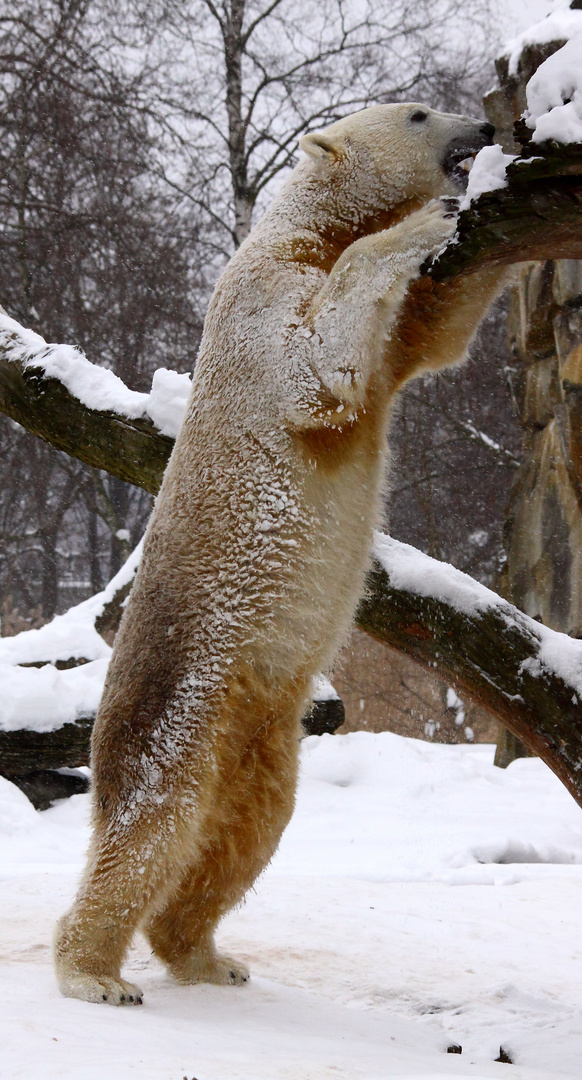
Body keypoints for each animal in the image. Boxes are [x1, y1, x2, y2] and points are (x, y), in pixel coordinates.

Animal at [55, 103, 509, 1002]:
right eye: (416, 111)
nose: (478, 123)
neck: (306, 229)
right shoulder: (263, 297)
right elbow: (319, 368)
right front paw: (429, 218)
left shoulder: (387, 334)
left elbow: (432, 332)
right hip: (179, 705)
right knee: (152, 825)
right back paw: (94, 972)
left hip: (263, 735)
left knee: (243, 836)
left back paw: (208, 956)